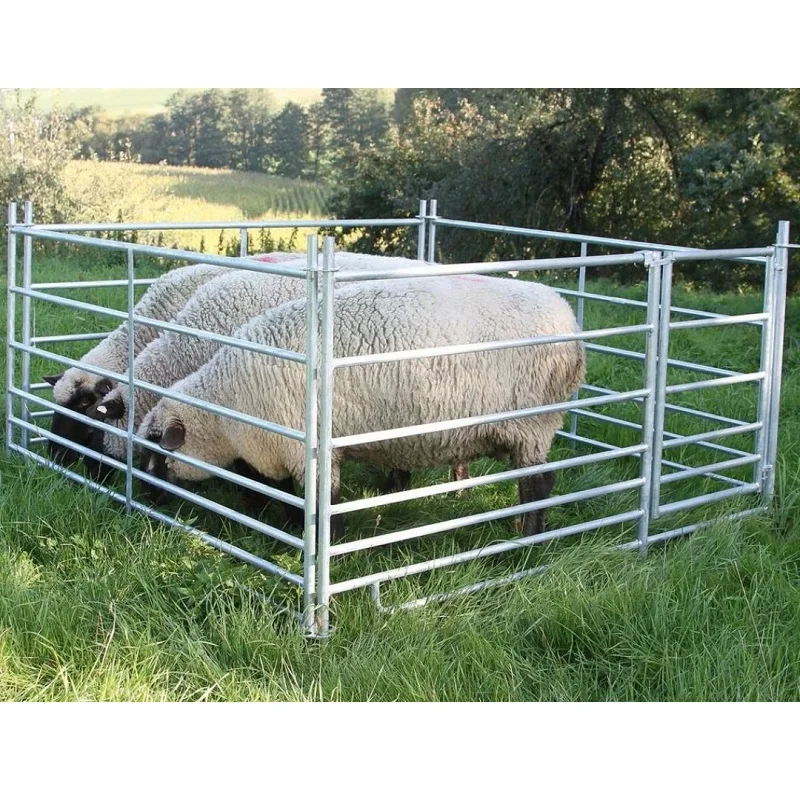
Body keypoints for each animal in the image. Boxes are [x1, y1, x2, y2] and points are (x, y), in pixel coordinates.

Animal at [137, 274, 585, 539]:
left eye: (155, 451)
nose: (143, 501)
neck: (225, 407)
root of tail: (569, 318)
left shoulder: (303, 448)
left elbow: (321, 504)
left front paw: (321, 541)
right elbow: (278, 490)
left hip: (532, 424)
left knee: (538, 484)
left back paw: (529, 540)